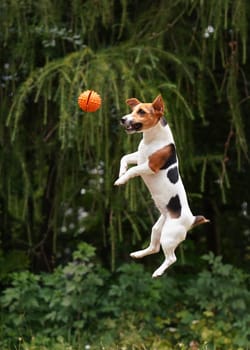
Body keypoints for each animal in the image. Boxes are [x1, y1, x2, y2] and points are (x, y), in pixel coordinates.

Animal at [114, 94, 208, 278]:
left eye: (141, 112)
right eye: (132, 110)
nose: (123, 119)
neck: (151, 139)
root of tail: (192, 220)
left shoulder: (149, 166)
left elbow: (133, 170)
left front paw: (121, 180)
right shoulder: (139, 157)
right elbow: (124, 158)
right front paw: (122, 172)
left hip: (169, 235)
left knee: (171, 258)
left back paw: (158, 272)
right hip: (158, 228)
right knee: (154, 247)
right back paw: (138, 254)